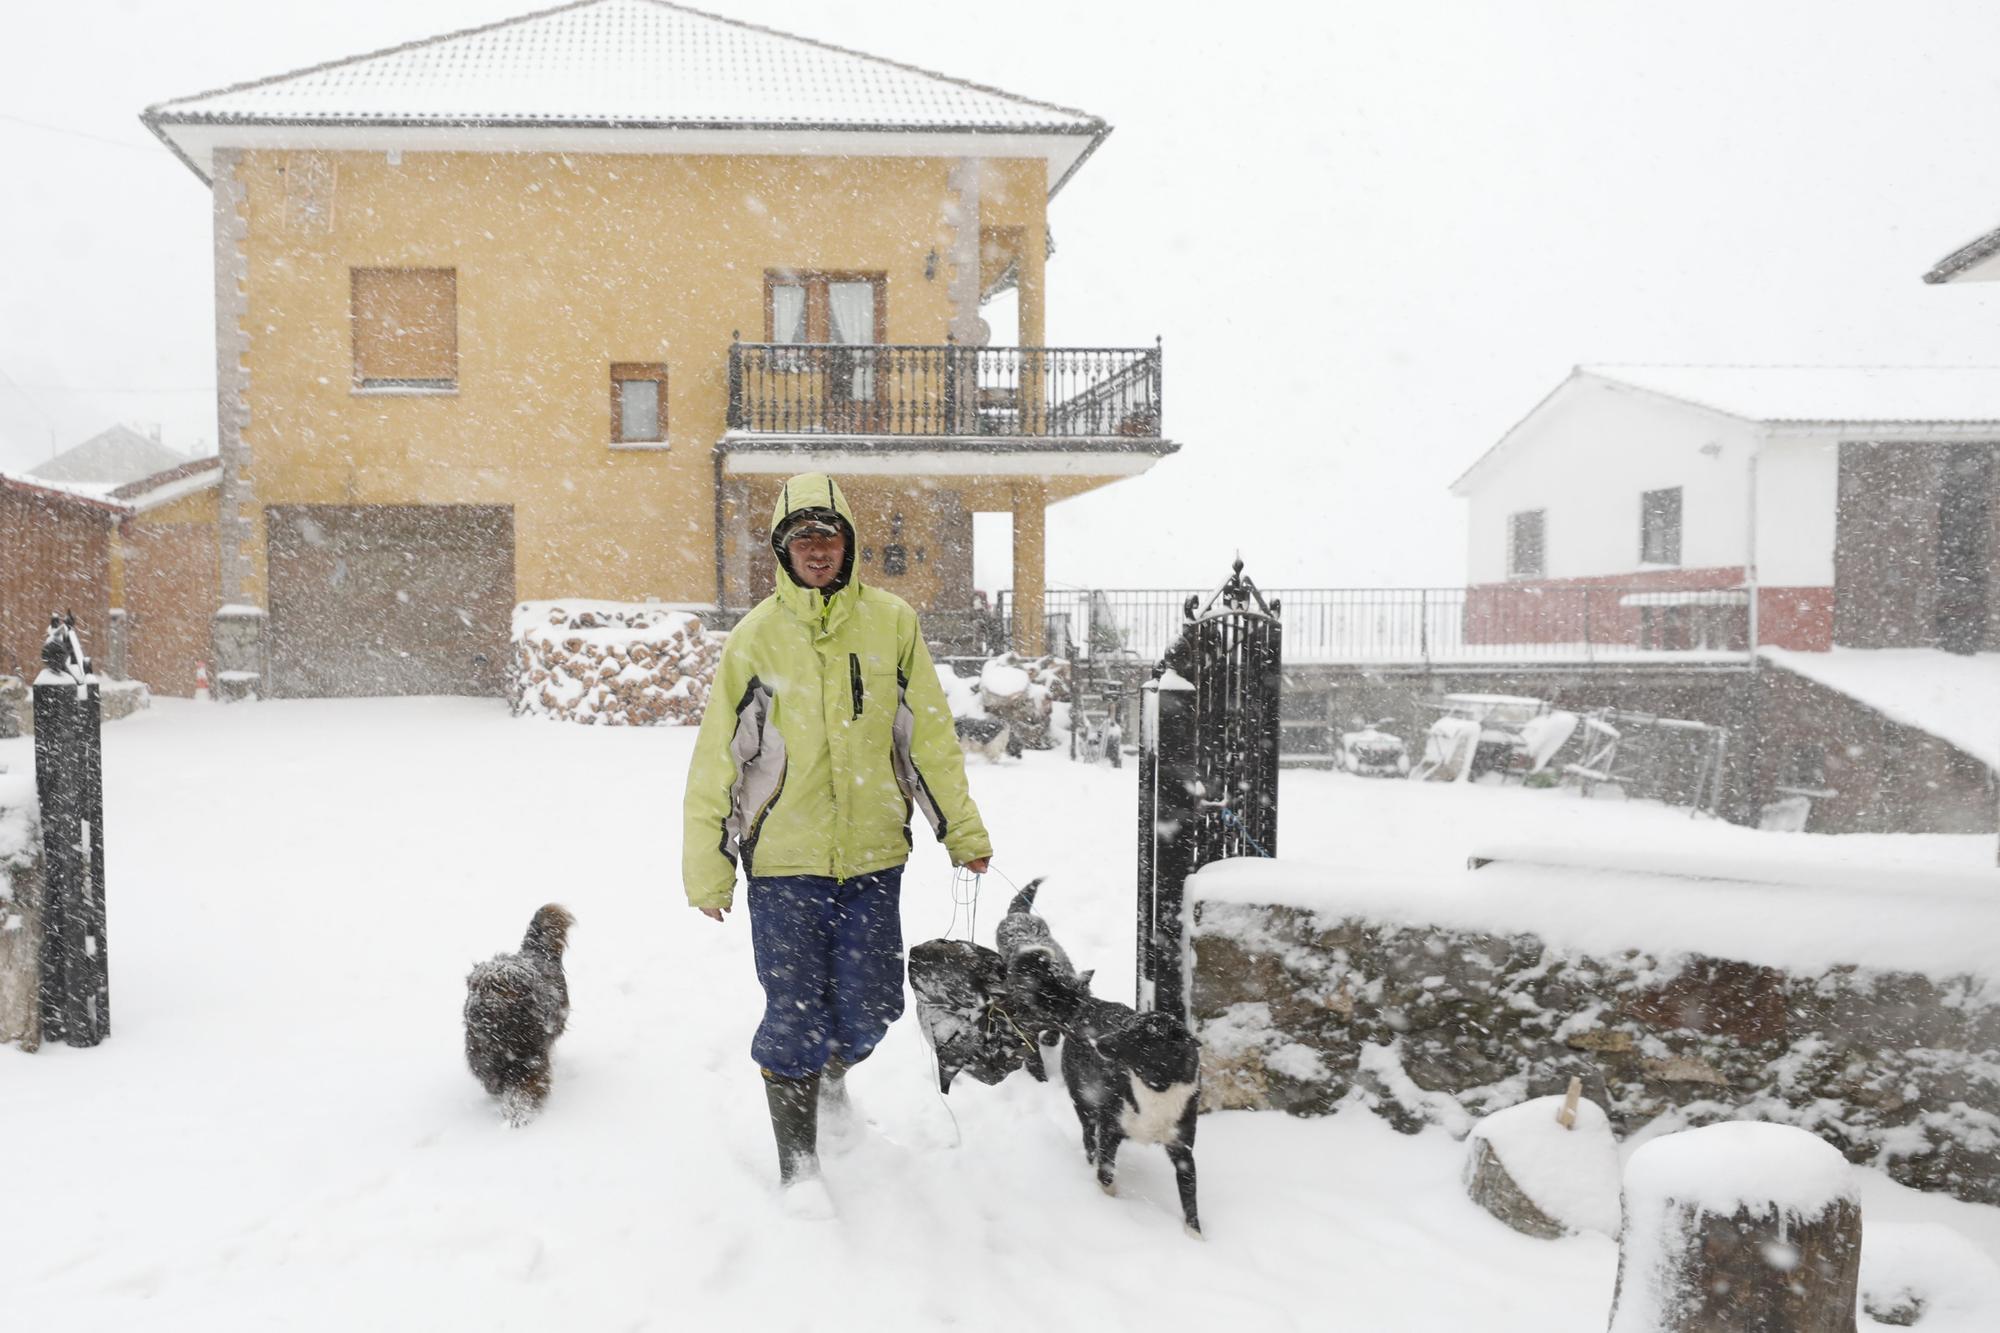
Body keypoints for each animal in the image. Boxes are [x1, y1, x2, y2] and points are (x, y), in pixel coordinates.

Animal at [460, 904, 572, 1120]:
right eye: (475, 987)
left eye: (499, 989)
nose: (475, 1011)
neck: (503, 1033)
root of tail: (534, 951)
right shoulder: (480, 1054)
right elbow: (490, 1076)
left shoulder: (531, 1059)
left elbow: (526, 1086)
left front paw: (518, 1113)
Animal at [1000, 876, 1200, 1232]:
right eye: (1127, 1026)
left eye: (1138, 1037)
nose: (1099, 1043)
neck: (1155, 1087)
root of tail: (1087, 1004)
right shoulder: (1109, 1126)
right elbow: (1106, 1172)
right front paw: (1110, 1205)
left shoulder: (1183, 1150)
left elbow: (1191, 1204)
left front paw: (1196, 1237)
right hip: (1084, 1099)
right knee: (1087, 1137)